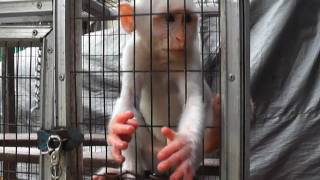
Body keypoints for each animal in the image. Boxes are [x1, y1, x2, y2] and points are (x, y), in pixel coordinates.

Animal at [101, 0, 215, 179]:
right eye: (169, 19)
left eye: (187, 19)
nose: (181, 38)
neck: (162, 58)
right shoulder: (134, 52)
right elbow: (128, 98)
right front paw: (117, 130)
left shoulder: (191, 54)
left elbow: (194, 99)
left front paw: (185, 144)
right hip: (150, 151)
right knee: (132, 122)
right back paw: (130, 171)